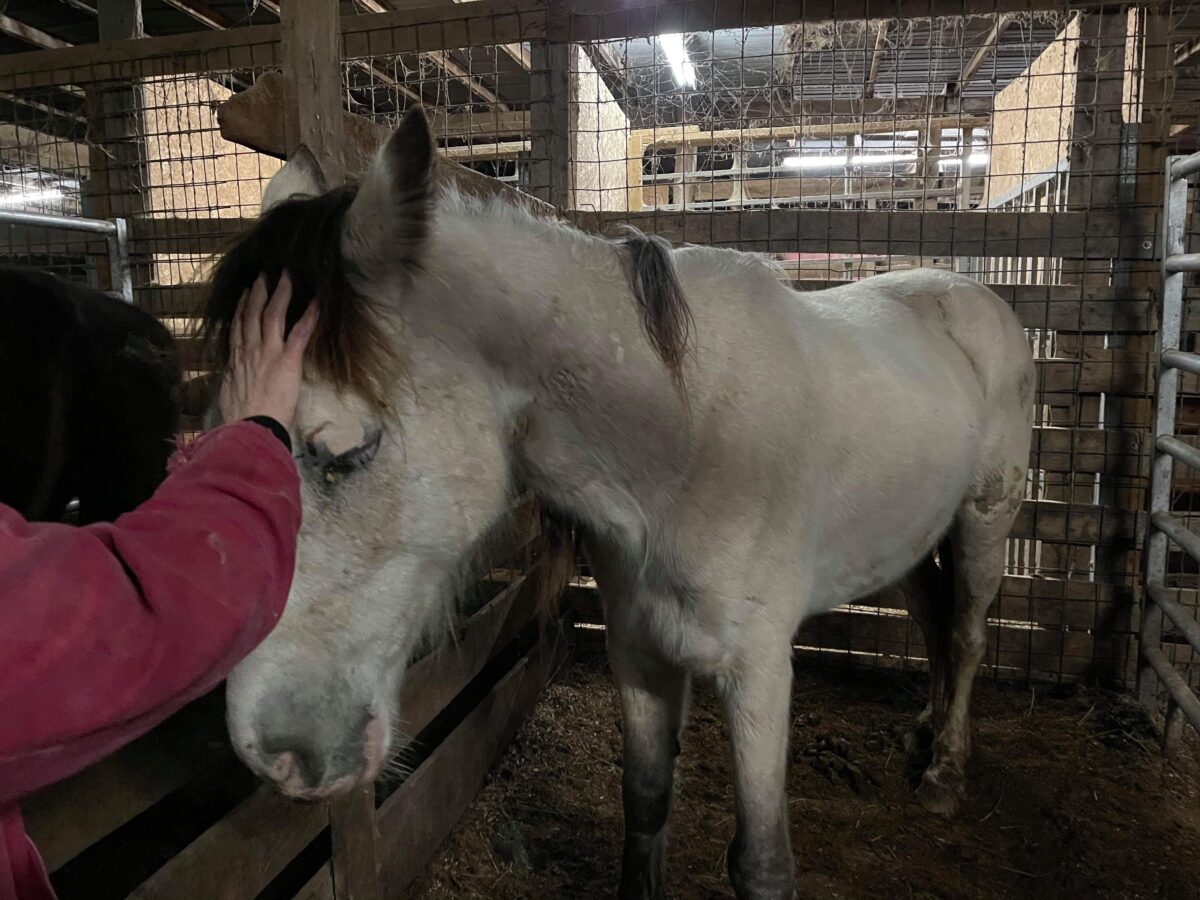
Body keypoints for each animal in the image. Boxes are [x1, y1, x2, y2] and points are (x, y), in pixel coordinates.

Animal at [203, 108, 1034, 900]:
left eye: (346, 449)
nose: (276, 753)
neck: (687, 448)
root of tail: (973, 298)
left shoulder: (760, 670)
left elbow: (762, 864)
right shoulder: (638, 652)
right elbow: (645, 801)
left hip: (984, 520)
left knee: (966, 634)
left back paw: (944, 772)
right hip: (912, 537)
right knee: (933, 621)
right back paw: (923, 734)